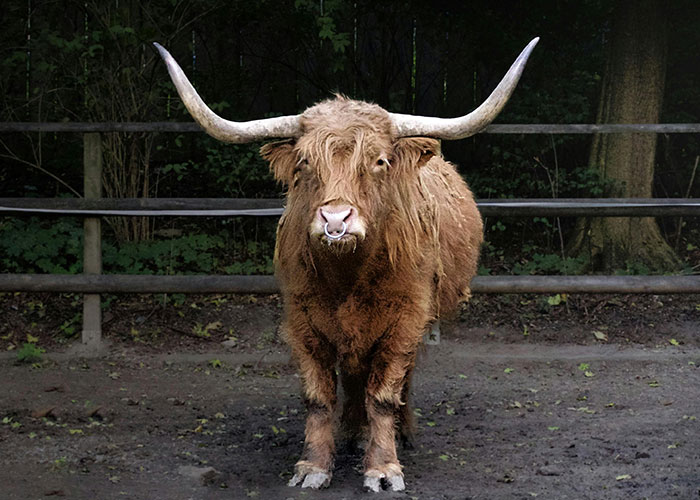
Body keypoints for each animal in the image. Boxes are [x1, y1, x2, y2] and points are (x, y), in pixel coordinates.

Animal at [155, 37, 538, 492]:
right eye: (304, 163)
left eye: (379, 161)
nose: (336, 220)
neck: (348, 277)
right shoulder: (302, 322)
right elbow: (319, 397)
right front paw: (314, 466)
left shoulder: (405, 321)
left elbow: (384, 395)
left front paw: (384, 469)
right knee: (354, 377)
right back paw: (353, 433)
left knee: (398, 379)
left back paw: (403, 433)